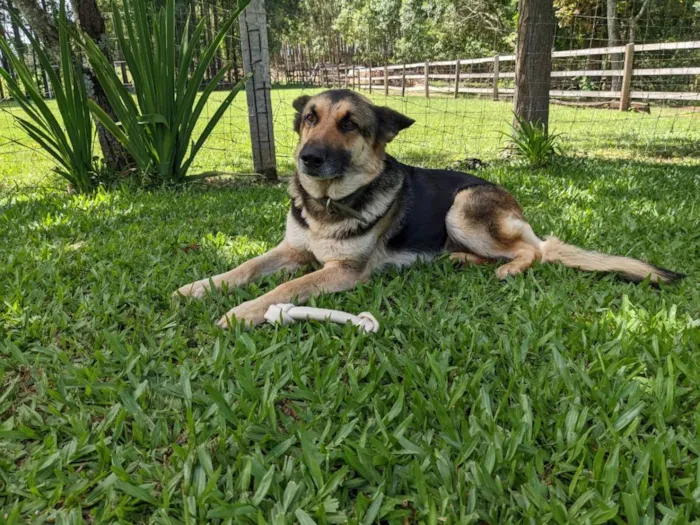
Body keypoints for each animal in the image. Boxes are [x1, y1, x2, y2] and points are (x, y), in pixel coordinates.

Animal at [175, 90, 684, 328]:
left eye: (350, 125)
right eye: (309, 119)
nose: (308, 159)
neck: (329, 204)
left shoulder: (341, 272)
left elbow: (283, 289)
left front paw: (241, 313)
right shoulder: (291, 250)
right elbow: (243, 268)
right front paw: (200, 287)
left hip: (461, 207)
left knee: (535, 251)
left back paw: (507, 268)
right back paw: (458, 259)